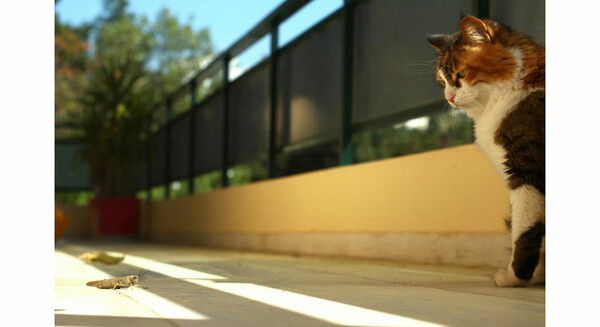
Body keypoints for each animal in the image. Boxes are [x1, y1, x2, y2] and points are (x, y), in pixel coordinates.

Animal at [426, 16, 544, 288]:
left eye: (461, 74)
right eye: (442, 82)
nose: (449, 98)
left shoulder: (526, 172)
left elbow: (524, 231)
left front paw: (515, 276)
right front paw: (537, 276)